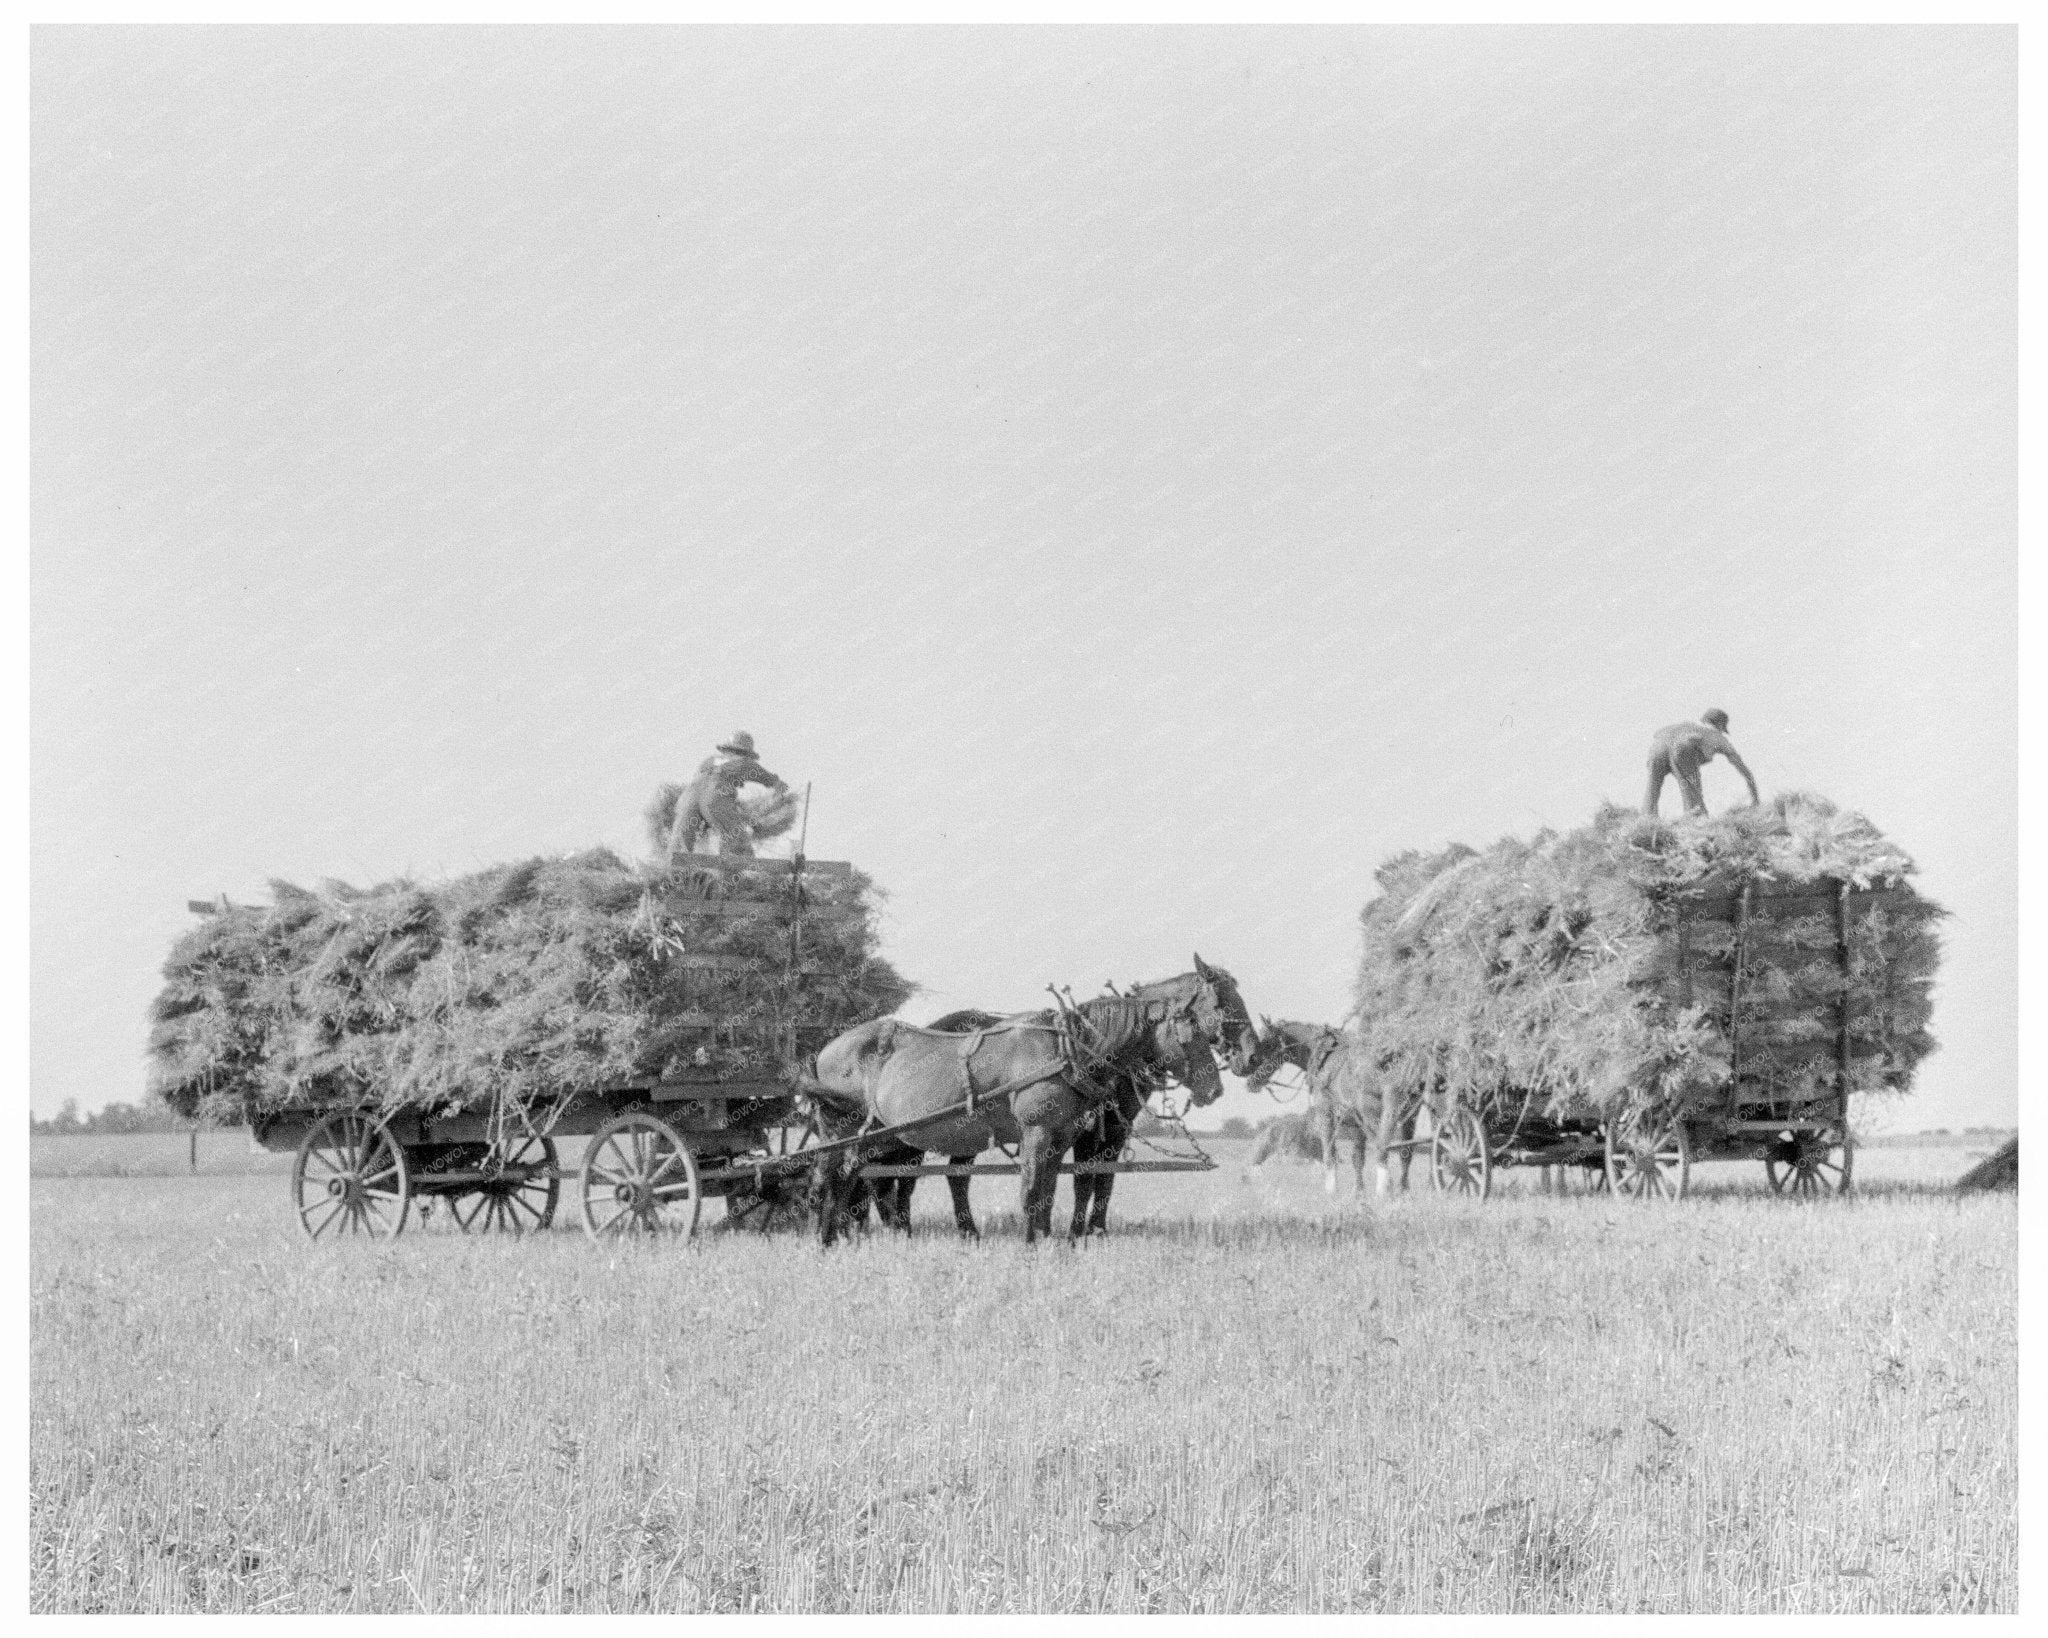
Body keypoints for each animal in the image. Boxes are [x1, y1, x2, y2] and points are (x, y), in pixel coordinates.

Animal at [798, 954, 1245, 1244]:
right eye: (1194, 1029)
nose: (1216, 1089)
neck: (1069, 1050)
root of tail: (825, 1050)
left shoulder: (1063, 1136)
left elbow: (1052, 1189)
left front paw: (1049, 1240)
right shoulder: (1040, 1131)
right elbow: (1035, 1189)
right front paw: (1034, 1243)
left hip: (875, 1134)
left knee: (854, 1178)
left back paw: (843, 1237)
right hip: (843, 1130)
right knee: (834, 1178)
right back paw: (829, 1239)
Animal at [1236, 1015, 1417, 1195]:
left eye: (1266, 1043)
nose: (1249, 1080)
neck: (1323, 1056)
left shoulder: (1326, 1116)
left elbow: (1329, 1154)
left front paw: (1331, 1190)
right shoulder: (1356, 1124)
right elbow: (1358, 1158)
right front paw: (1358, 1192)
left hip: (1374, 1113)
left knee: (1382, 1146)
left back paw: (1384, 1189)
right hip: (1409, 1116)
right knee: (1405, 1152)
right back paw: (1403, 1191)